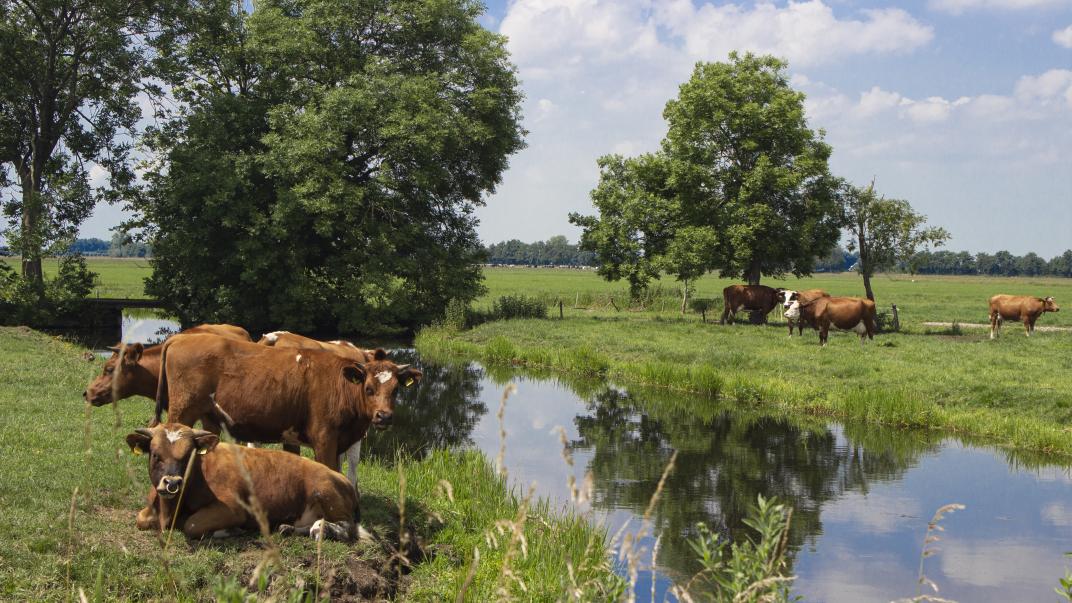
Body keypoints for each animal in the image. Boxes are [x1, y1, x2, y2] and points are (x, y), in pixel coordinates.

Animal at [126, 423, 358, 540]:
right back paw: (288, 528)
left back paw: (323, 530)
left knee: (346, 528)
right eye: (156, 455)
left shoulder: (233, 509)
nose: (172, 483)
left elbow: (191, 525)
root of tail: (340, 477)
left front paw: (230, 530)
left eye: (188, 456)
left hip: (325, 492)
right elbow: (140, 519)